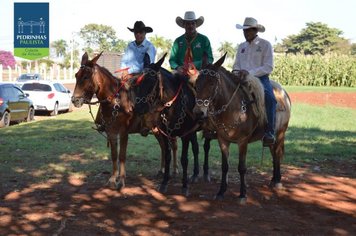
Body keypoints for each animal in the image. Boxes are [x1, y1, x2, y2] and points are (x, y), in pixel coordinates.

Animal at [71, 52, 178, 189]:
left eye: (85, 77)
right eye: (76, 75)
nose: (75, 100)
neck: (116, 102)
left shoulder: (123, 133)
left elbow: (122, 156)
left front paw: (121, 180)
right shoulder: (111, 132)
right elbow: (114, 155)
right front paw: (112, 179)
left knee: (173, 145)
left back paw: (174, 170)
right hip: (156, 130)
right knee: (163, 147)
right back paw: (161, 170)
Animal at [193, 54, 290, 203]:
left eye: (212, 83)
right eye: (196, 83)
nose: (199, 112)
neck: (234, 108)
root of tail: (284, 93)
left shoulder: (243, 141)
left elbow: (242, 167)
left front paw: (243, 194)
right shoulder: (222, 140)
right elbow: (225, 167)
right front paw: (221, 191)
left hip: (280, 134)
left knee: (278, 154)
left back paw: (278, 181)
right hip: (272, 139)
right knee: (274, 155)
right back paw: (273, 180)